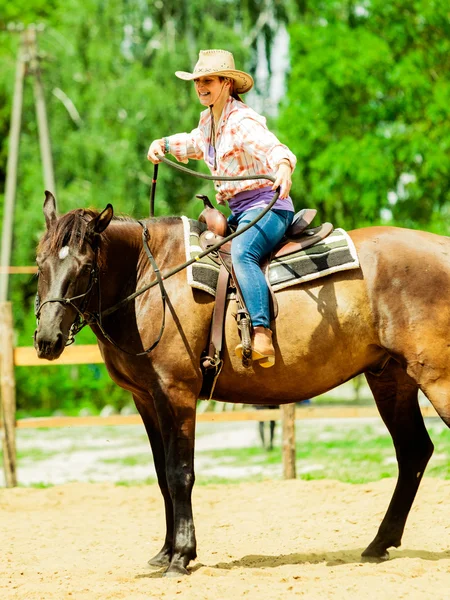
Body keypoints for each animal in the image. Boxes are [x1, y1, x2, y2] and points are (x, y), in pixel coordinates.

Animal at [34, 192, 450, 576]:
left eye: (87, 267)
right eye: (40, 262)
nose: (47, 339)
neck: (150, 280)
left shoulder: (177, 393)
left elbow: (179, 473)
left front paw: (181, 556)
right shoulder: (146, 399)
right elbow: (161, 475)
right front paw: (166, 552)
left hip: (436, 378)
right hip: (390, 378)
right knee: (413, 452)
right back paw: (379, 543)